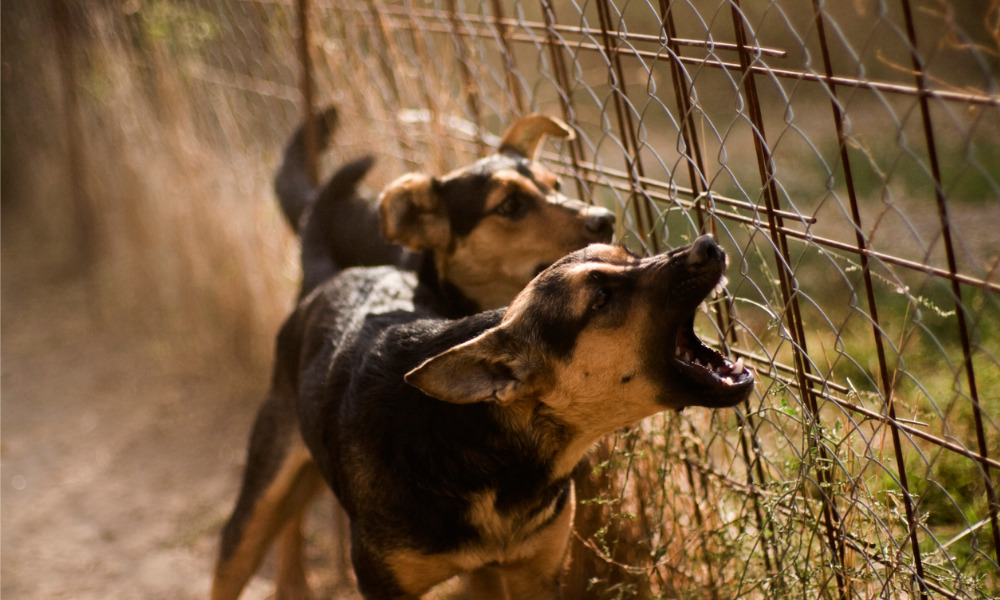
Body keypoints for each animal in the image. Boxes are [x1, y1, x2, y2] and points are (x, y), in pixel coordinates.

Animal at [215, 237, 752, 596]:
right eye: (601, 298)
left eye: (629, 254)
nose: (708, 245)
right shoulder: (385, 585)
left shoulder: (536, 574)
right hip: (253, 511)